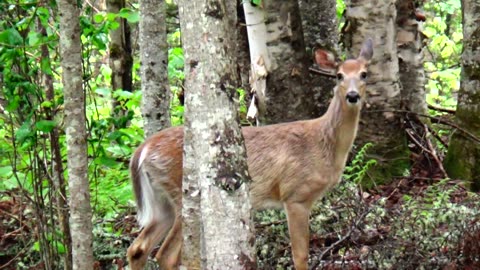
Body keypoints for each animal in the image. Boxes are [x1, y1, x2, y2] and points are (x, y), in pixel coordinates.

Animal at [125, 38, 374, 270]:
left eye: (364, 74)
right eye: (339, 76)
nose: (353, 96)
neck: (323, 144)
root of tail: (143, 150)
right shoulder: (294, 194)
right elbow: (300, 255)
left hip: (162, 201)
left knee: (137, 248)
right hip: (183, 196)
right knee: (165, 254)